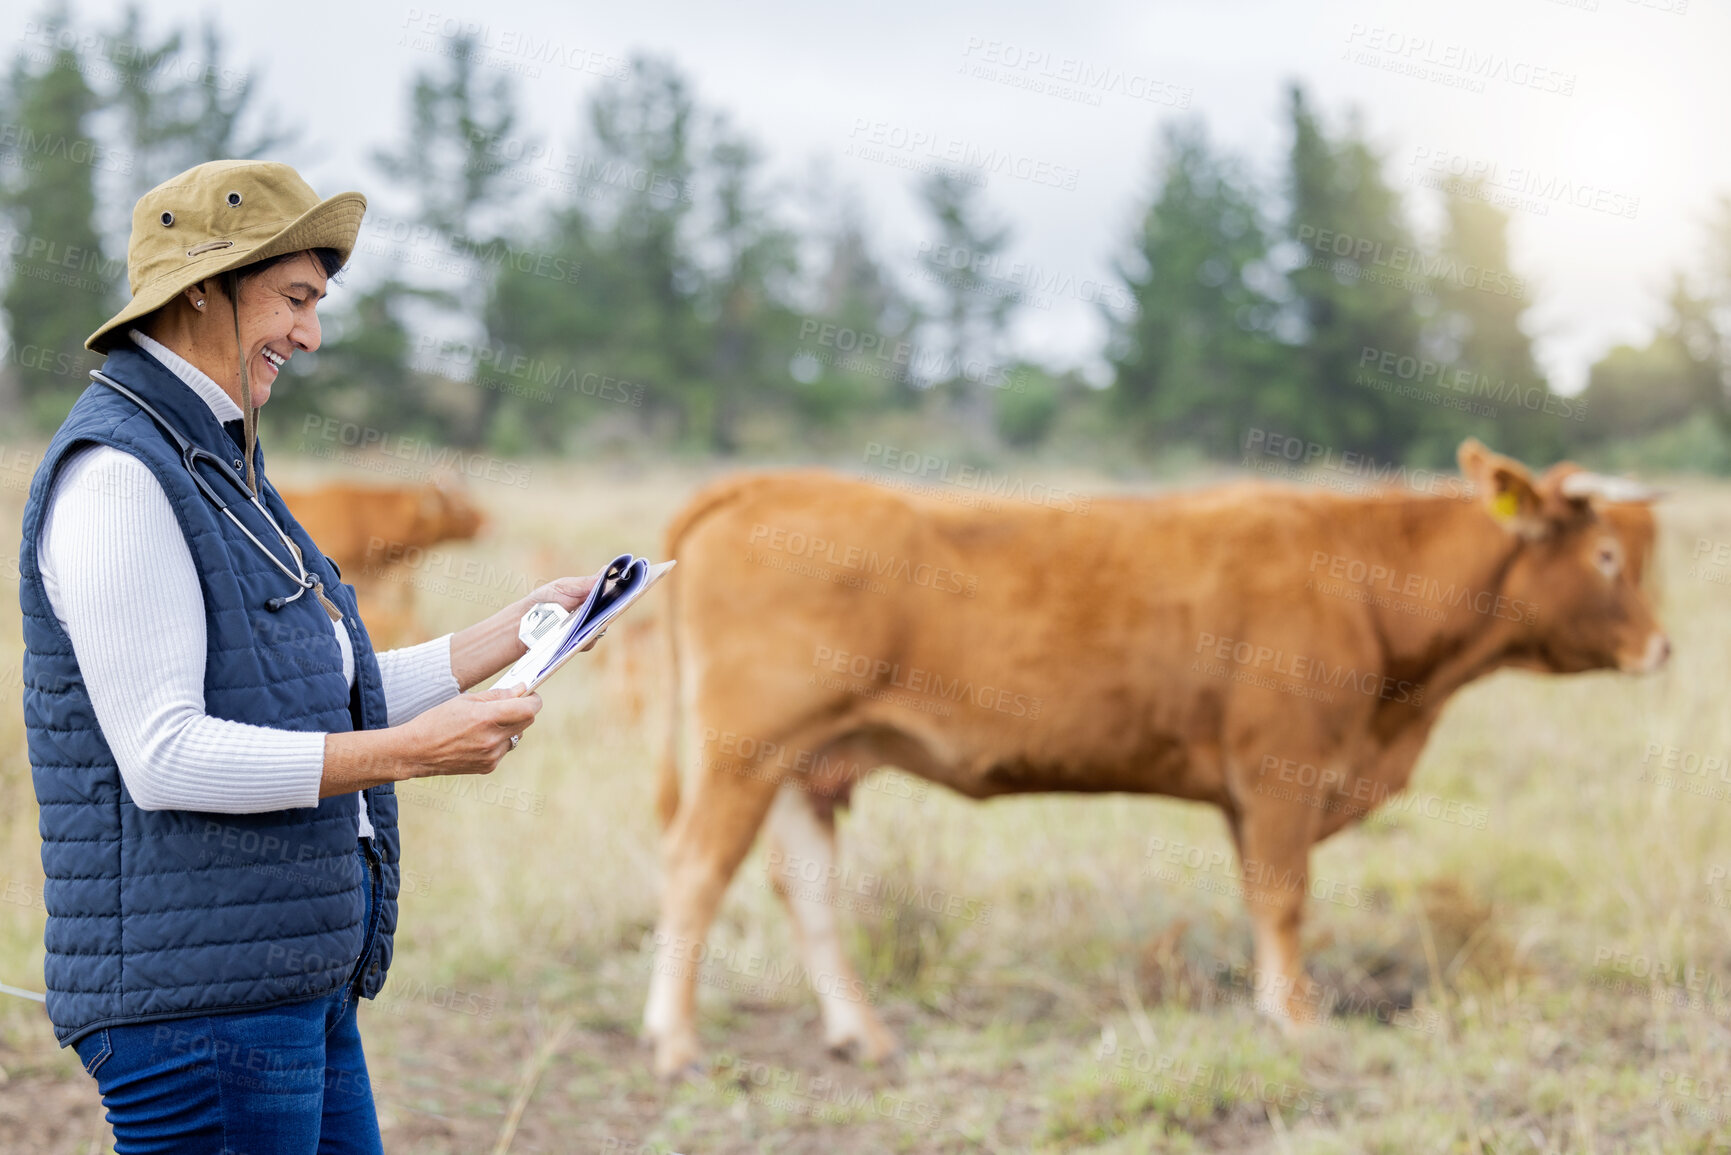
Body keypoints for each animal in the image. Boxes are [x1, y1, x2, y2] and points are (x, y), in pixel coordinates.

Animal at [643, 436, 1668, 1073]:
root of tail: (768, 484)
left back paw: (861, 1033)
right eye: (1606, 555)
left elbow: (1263, 897)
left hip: (802, 761)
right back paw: (675, 1041)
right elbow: (1283, 898)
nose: (1661, 647)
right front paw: (1296, 1018)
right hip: (743, 749)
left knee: (803, 886)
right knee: (694, 869)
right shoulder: (1280, 772)